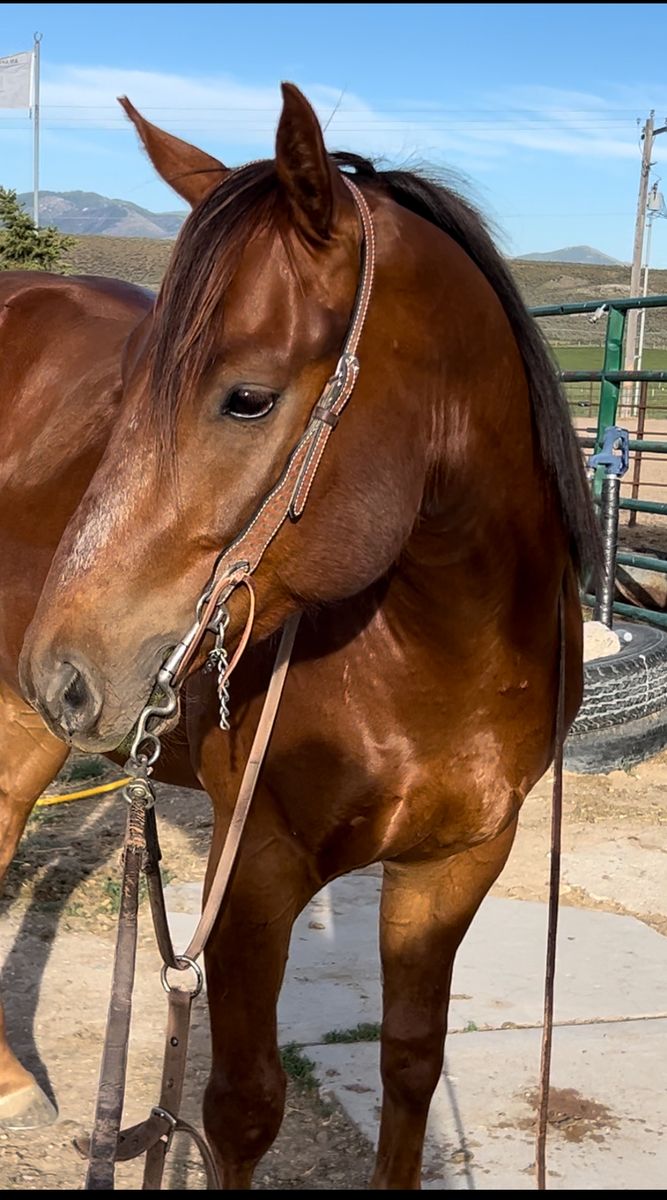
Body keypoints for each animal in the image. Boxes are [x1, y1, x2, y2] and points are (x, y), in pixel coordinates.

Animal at [17, 83, 599, 1189]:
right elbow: (242, 1110)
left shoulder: (456, 864)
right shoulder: (254, 875)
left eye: (246, 398)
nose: (63, 672)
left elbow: (412, 1067)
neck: (437, 654)